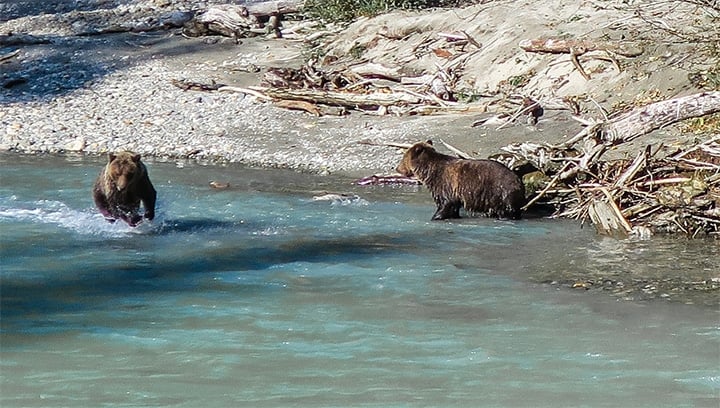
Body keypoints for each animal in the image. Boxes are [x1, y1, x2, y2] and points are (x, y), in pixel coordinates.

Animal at [396, 141, 524, 223]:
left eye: (403, 158)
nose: (397, 168)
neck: (429, 171)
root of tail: (518, 180)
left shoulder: (444, 183)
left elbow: (445, 203)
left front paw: (435, 217)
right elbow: (453, 207)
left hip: (500, 191)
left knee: (506, 209)